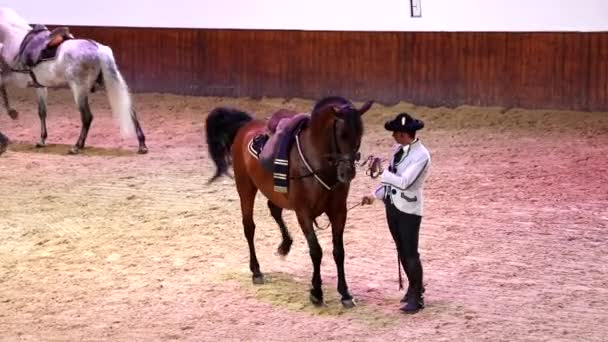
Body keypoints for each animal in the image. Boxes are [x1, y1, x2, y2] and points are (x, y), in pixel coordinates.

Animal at [0, 7, 147, 154]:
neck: (14, 40)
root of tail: (98, 48)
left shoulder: (15, 79)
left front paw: (11, 116)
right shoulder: (40, 86)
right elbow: (42, 112)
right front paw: (41, 140)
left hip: (79, 89)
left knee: (87, 117)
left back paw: (77, 146)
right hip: (107, 83)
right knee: (129, 110)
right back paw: (142, 144)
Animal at [207, 95, 372, 308]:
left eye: (359, 134)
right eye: (342, 134)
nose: (348, 173)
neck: (318, 162)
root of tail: (245, 126)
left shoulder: (338, 212)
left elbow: (339, 251)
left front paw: (345, 293)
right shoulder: (303, 213)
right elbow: (316, 251)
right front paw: (316, 292)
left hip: (274, 192)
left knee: (274, 210)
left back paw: (285, 245)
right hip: (245, 188)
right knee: (249, 227)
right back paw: (256, 270)